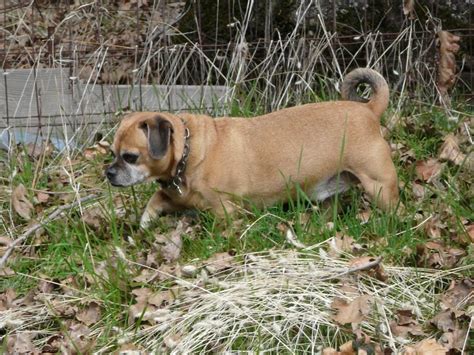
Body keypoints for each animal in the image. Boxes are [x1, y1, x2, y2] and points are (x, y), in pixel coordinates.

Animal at [105, 68, 398, 228]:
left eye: (130, 157)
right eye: (113, 153)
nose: (108, 173)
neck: (190, 153)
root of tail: (369, 110)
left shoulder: (225, 210)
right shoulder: (176, 197)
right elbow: (155, 200)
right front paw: (146, 222)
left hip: (379, 185)